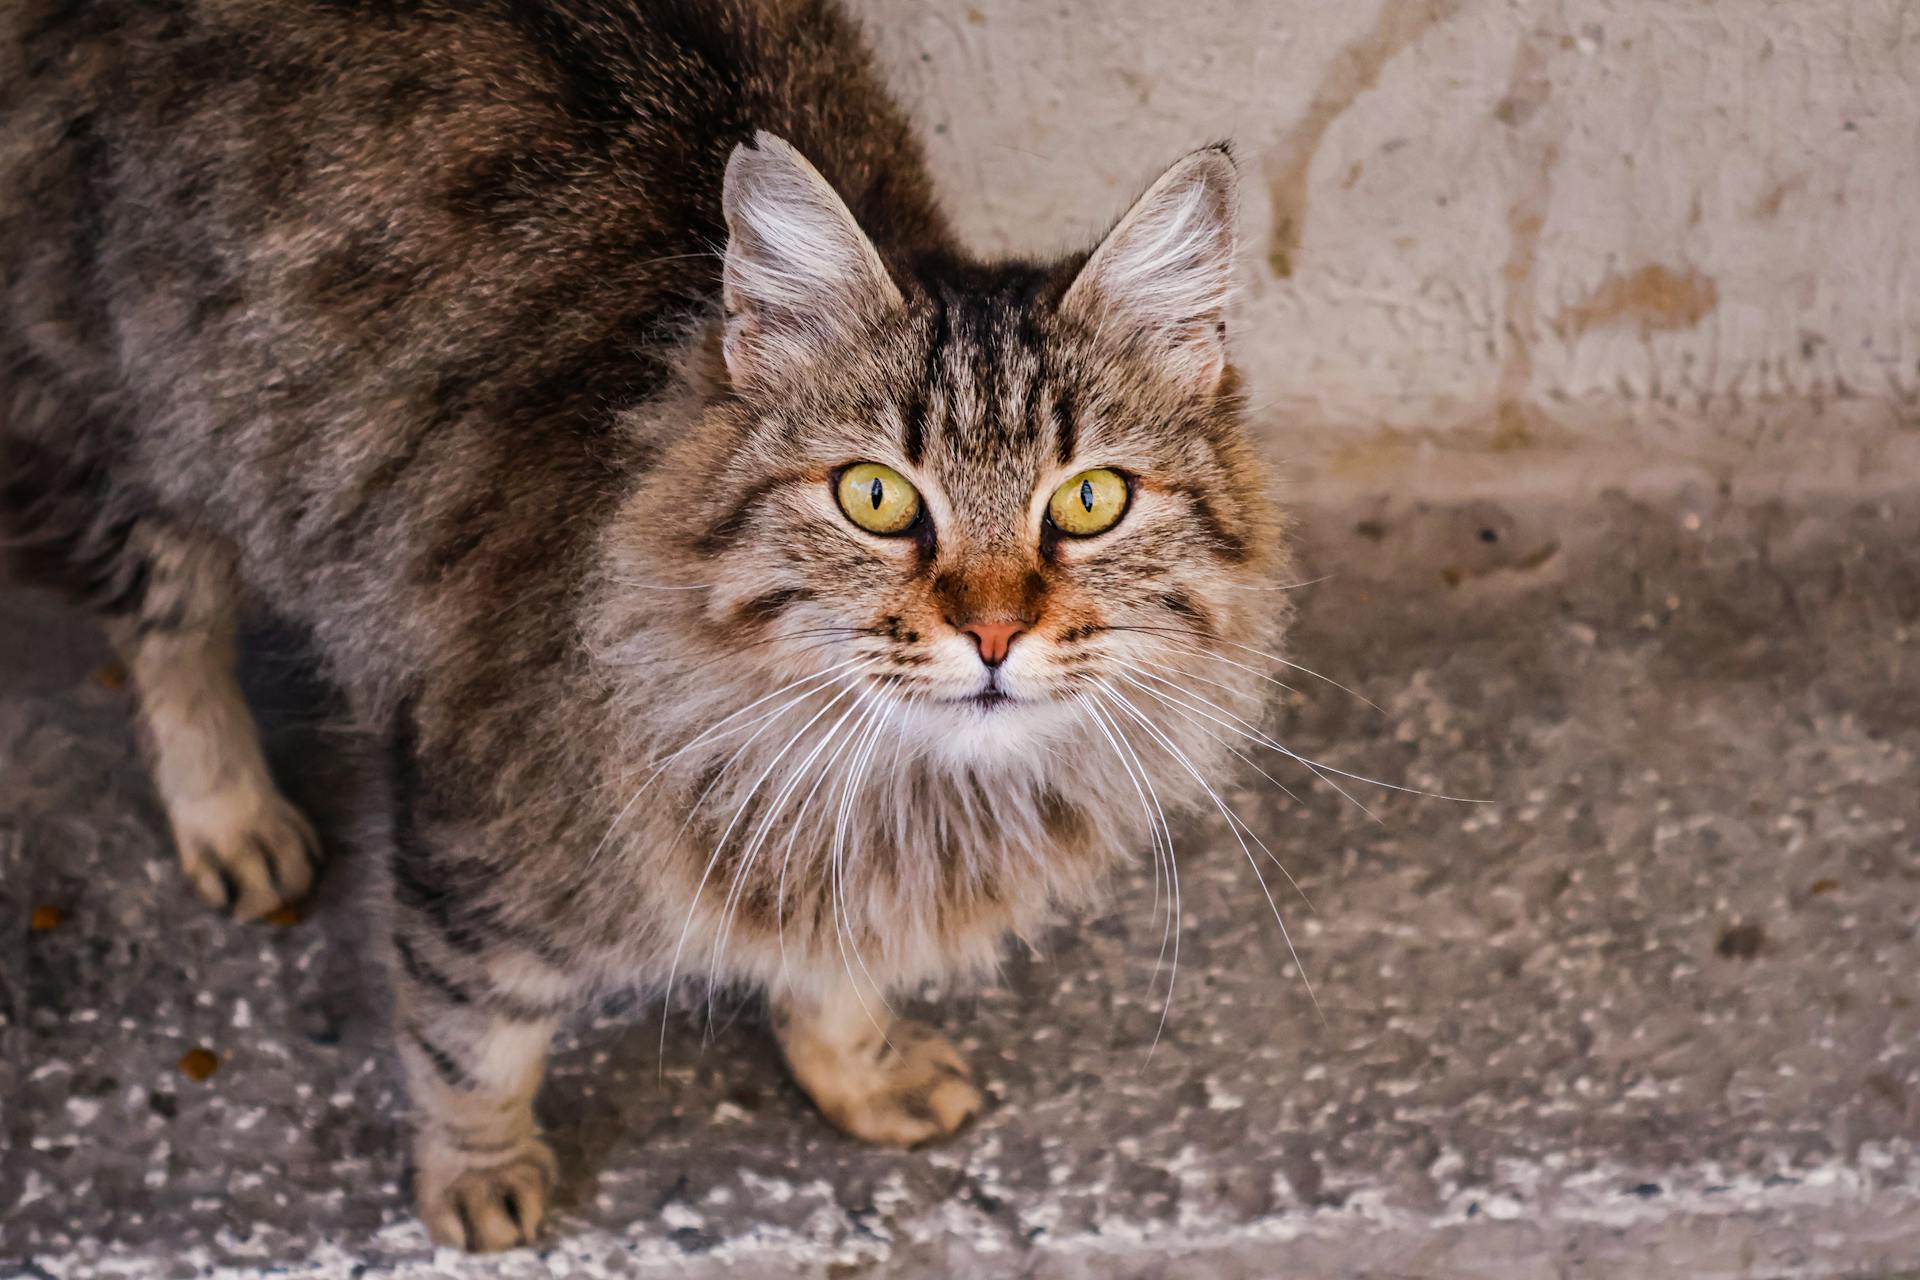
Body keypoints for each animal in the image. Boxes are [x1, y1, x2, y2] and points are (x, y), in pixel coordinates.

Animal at [3, 0, 1290, 1251]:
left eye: (1090, 500)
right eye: (876, 497)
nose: (991, 632)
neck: (908, 792)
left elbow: (831, 975)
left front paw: (860, 1068)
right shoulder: (474, 843)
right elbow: (470, 1037)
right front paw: (477, 1175)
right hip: (135, 419)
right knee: (165, 629)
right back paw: (233, 817)